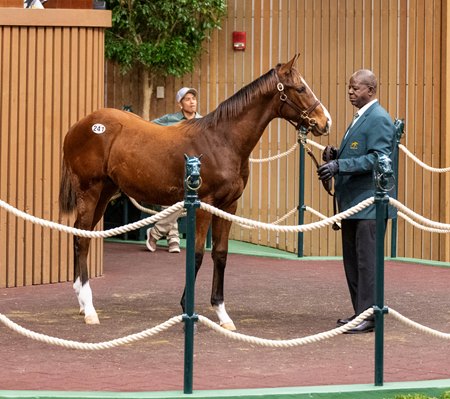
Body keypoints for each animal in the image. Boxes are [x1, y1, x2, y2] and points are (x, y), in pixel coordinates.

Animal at [59, 56, 330, 332]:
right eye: (300, 89)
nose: (325, 121)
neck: (222, 141)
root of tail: (78, 126)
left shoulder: (228, 206)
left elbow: (220, 254)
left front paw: (222, 313)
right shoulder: (203, 205)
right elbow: (197, 255)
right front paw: (186, 308)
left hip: (105, 192)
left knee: (81, 234)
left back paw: (82, 301)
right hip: (90, 191)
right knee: (82, 240)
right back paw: (89, 308)